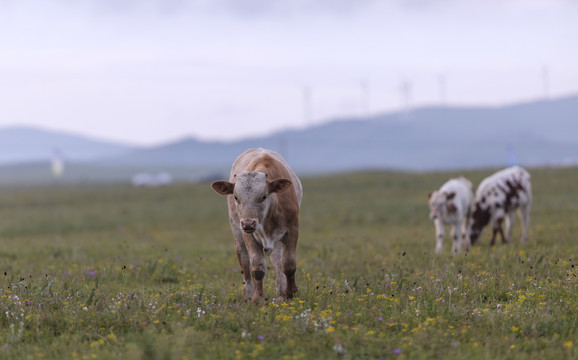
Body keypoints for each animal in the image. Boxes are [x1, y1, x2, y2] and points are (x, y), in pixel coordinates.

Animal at [212, 148, 302, 302]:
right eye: (236, 197)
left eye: (264, 196)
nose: (248, 223)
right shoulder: (249, 235)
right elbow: (257, 267)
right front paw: (257, 298)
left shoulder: (292, 230)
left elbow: (288, 264)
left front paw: (290, 293)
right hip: (238, 236)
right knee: (245, 262)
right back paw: (248, 294)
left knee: (278, 262)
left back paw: (280, 292)